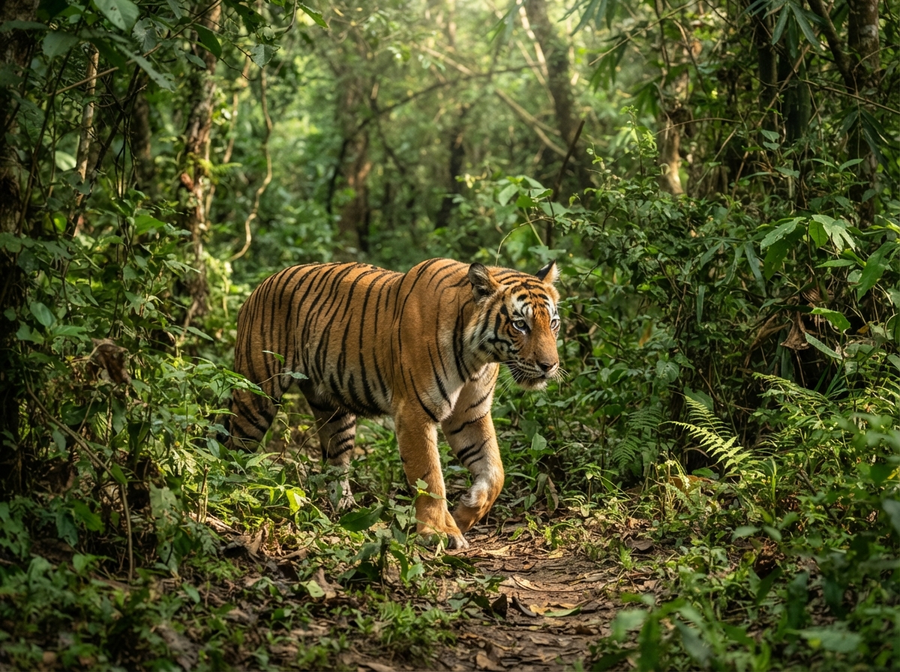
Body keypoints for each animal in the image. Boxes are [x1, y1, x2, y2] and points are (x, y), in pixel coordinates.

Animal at [227, 258, 561, 549]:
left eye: (554, 323)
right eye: (520, 325)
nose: (550, 366)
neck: (478, 357)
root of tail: (261, 285)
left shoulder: (470, 416)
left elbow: (494, 473)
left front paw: (464, 513)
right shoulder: (415, 411)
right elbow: (429, 476)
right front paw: (438, 532)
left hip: (335, 413)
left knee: (336, 464)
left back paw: (347, 510)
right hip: (255, 395)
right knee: (232, 447)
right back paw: (234, 493)